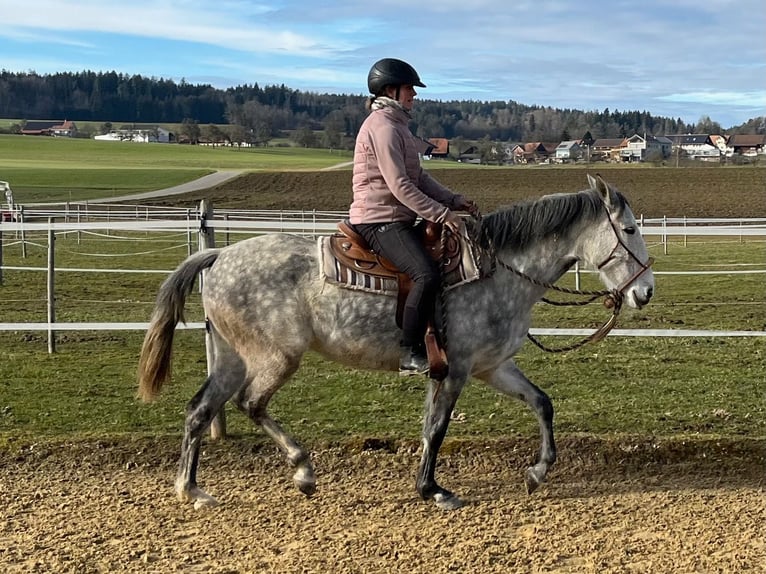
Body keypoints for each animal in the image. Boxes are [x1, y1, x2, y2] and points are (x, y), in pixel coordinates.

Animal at [136, 174, 656, 512]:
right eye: (630, 229)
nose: (645, 292)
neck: (496, 271)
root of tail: (219, 255)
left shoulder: (492, 367)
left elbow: (541, 403)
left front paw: (538, 471)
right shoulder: (455, 370)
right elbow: (436, 429)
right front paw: (433, 490)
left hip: (231, 357)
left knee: (200, 410)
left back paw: (192, 489)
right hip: (275, 358)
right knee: (251, 403)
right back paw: (303, 470)